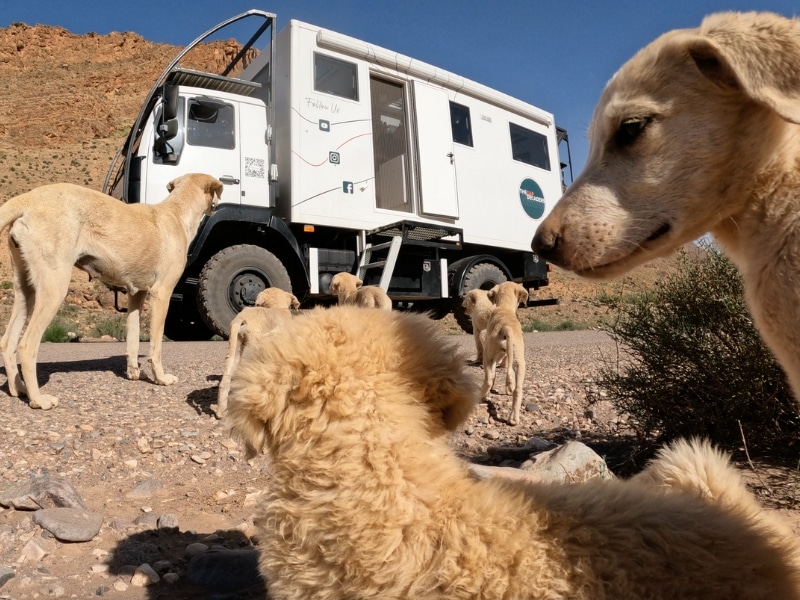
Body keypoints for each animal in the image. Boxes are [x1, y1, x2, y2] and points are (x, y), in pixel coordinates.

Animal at [0, 171, 222, 410]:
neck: (177, 213)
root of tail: (29, 198)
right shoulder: (161, 293)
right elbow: (156, 346)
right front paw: (161, 378)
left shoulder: (136, 294)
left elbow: (133, 339)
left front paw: (134, 374)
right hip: (54, 286)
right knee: (26, 345)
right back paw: (38, 399)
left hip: (26, 289)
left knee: (8, 341)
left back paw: (18, 389)